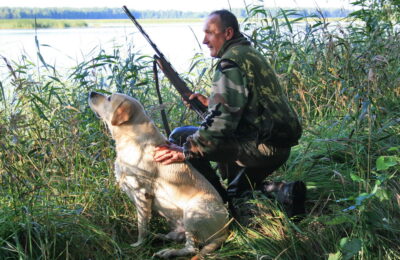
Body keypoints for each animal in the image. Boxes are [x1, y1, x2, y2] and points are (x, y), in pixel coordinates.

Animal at [89, 91, 230, 258]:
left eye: (110, 98)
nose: (91, 93)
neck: (131, 139)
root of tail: (226, 230)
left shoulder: (141, 192)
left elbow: (142, 224)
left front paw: (139, 244)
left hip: (193, 211)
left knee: (192, 248)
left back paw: (167, 251)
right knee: (178, 238)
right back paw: (159, 238)